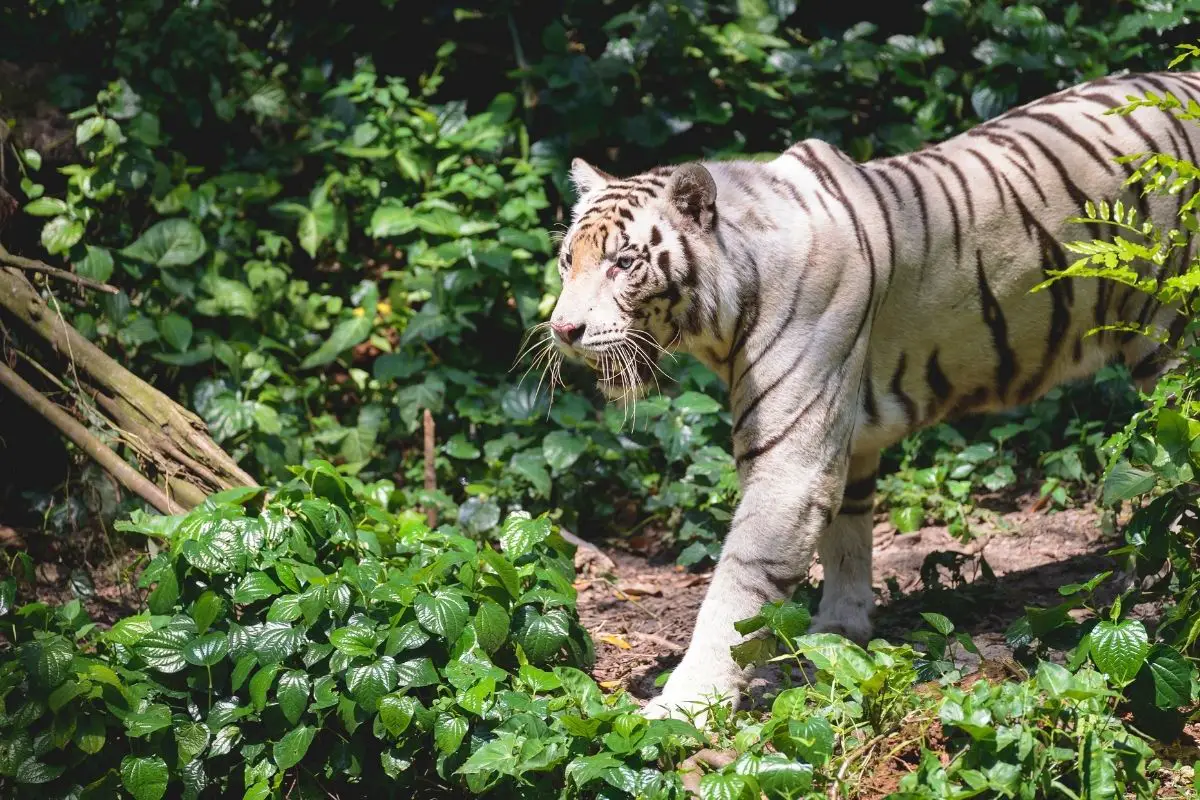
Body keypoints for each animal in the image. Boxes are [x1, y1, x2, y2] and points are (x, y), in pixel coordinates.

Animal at [542, 70, 1200, 719]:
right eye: (567, 261)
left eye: (625, 263)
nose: (563, 329)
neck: (726, 312)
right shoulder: (844, 439)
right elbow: (847, 537)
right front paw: (840, 632)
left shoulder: (791, 463)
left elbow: (738, 587)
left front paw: (683, 704)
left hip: (1171, 343)